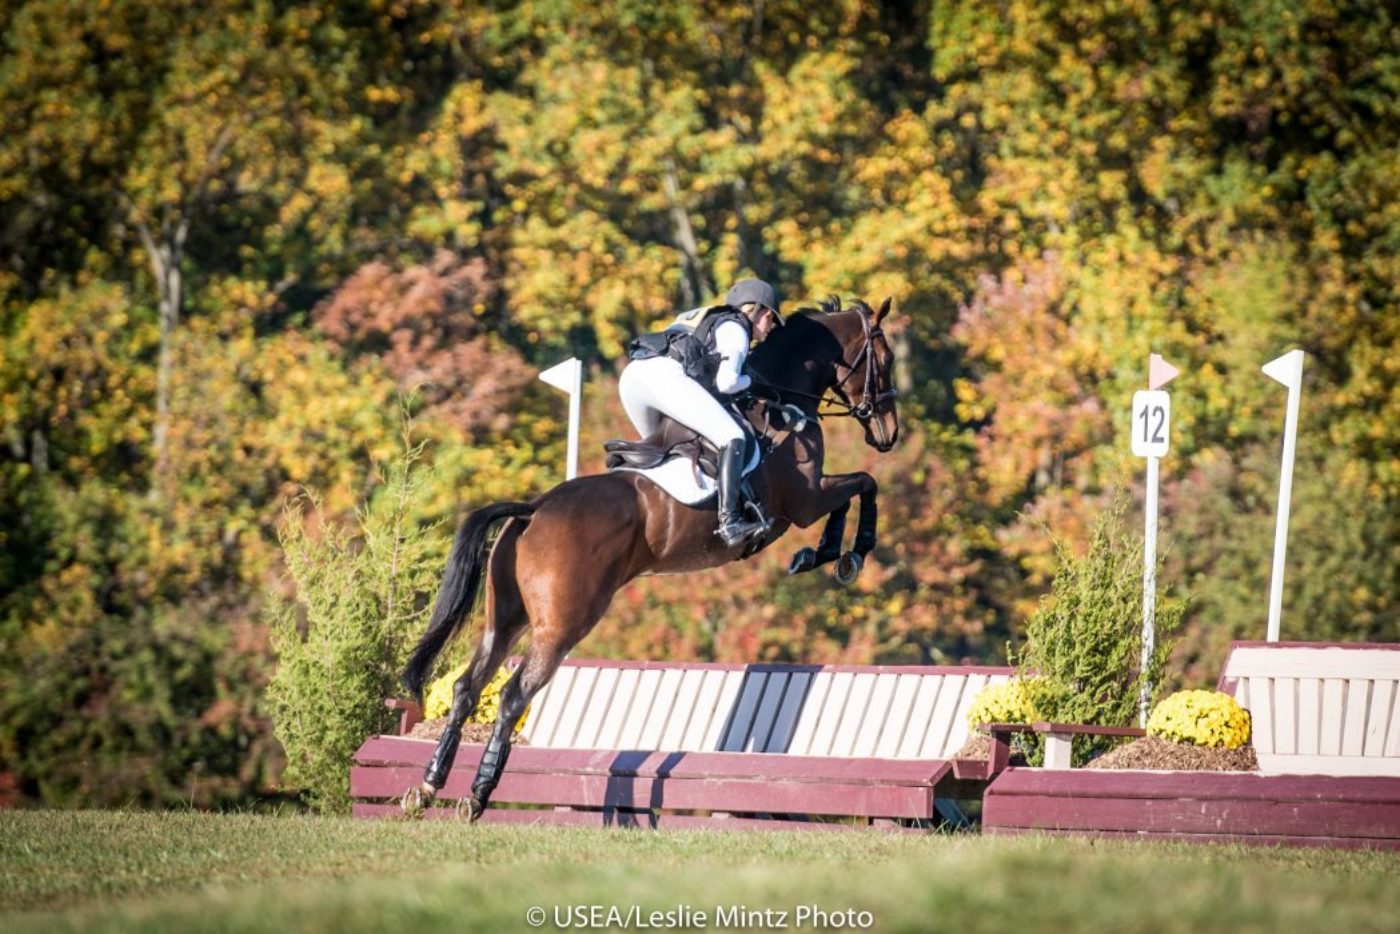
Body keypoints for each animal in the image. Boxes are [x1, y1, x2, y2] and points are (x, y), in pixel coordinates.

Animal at [397, 298, 896, 817]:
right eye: (886, 359)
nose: (889, 433)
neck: (782, 400)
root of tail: (534, 510)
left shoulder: (808, 499)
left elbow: (855, 489)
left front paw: (822, 553)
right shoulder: (803, 500)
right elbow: (863, 484)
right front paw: (845, 554)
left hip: (506, 616)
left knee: (467, 688)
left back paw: (428, 786)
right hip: (562, 624)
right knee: (514, 696)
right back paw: (477, 794)